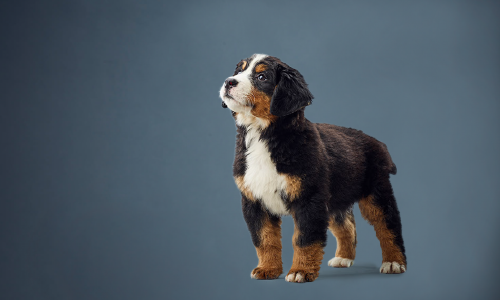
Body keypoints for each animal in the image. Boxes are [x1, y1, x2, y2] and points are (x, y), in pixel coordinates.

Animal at [219, 54, 406, 284]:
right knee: (346, 226)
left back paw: (394, 262)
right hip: (335, 198)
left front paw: (300, 271)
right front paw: (267, 268)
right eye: (239, 71)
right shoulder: (254, 200)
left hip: (376, 192)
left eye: (262, 77)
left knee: (389, 225)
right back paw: (343, 258)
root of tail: (377, 142)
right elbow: (264, 239)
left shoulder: (309, 198)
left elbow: (305, 239)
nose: (229, 82)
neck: (263, 135)